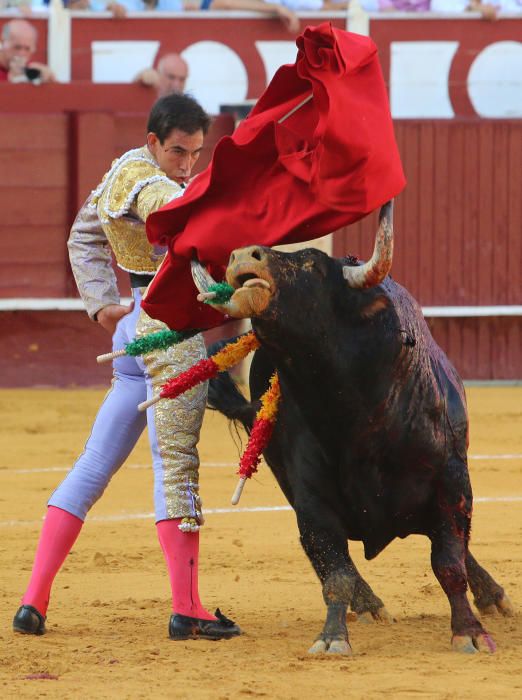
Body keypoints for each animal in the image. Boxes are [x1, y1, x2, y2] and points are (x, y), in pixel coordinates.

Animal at [201, 202, 510, 656]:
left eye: (313, 265)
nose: (242, 254)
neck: (355, 415)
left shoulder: (452, 482)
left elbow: (449, 561)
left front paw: (469, 632)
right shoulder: (312, 501)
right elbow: (335, 573)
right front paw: (332, 638)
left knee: (456, 546)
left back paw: (492, 595)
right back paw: (369, 605)